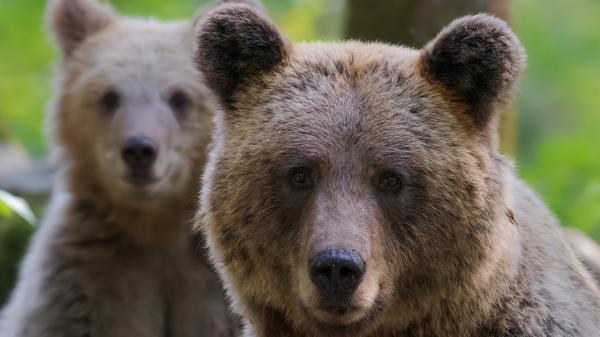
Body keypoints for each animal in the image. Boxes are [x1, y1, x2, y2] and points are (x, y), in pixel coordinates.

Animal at [0, 0, 251, 336]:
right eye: (109, 96)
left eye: (179, 98)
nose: (139, 150)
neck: (157, 226)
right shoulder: (89, 275)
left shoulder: (214, 286)